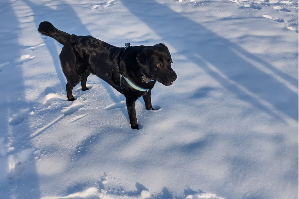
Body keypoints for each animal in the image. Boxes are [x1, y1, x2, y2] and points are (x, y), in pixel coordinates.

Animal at [38, 21, 177, 129]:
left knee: (83, 80)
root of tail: (71, 37)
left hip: (87, 70)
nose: (174, 77)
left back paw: (85, 89)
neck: (140, 70)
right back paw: (71, 99)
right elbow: (133, 117)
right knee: (68, 85)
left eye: (170, 61)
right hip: (74, 74)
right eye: (158, 64)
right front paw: (136, 130)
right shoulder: (130, 99)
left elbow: (148, 104)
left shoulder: (146, 91)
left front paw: (152, 114)